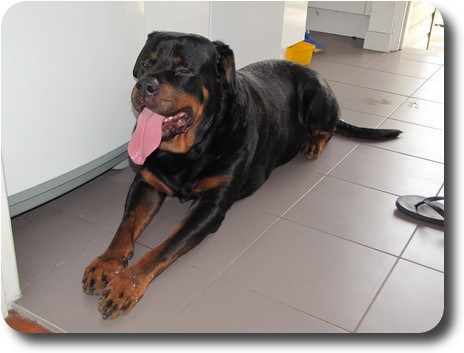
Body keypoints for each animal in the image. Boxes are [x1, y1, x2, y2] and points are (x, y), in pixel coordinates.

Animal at [81, 32, 400, 320]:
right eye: (146, 64)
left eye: (184, 70)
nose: (143, 85)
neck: (192, 147)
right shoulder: (146, 183)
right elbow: (125, 225)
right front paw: (106, 262)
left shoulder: (211, 206)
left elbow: (163, 248)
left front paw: (127, 283)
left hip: (317, 98)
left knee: (327, 130)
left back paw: (312, 143)